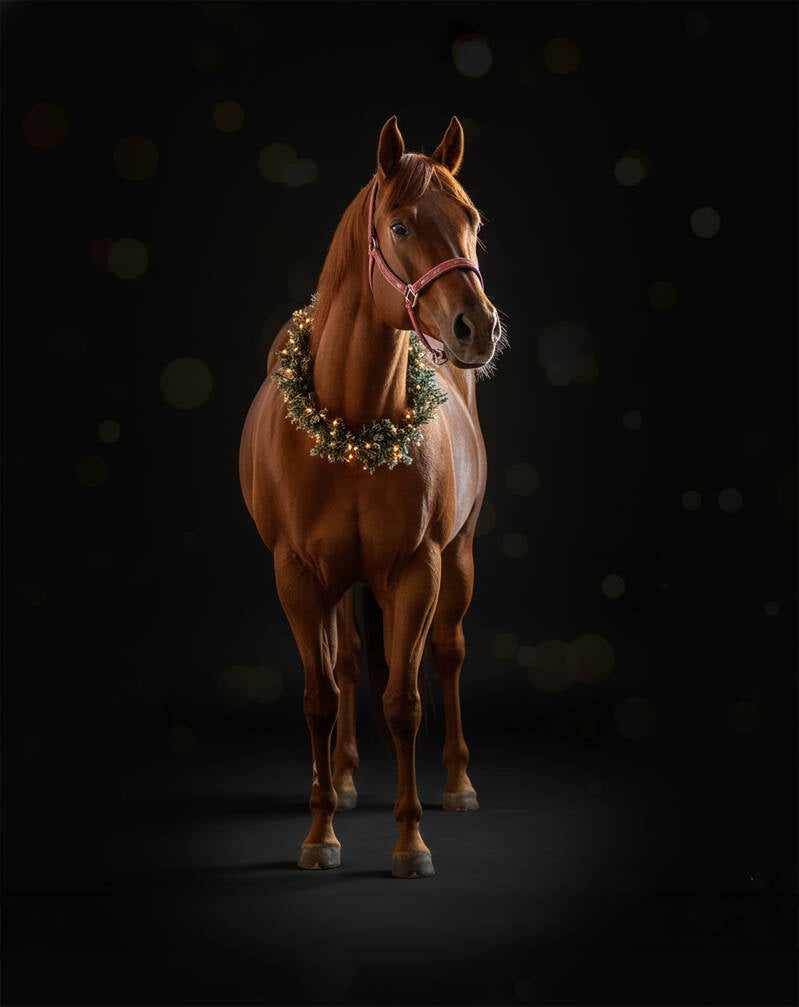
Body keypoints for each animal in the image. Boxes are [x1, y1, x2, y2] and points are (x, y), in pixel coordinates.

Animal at [239, 115, 505, 878]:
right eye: (401, 226)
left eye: (473, 220)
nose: (477, 327)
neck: (353, 423)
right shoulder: (297, 575)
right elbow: (320, 697)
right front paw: (320, 831)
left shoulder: (418, 570)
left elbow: (405, 701)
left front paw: (411, 843)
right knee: (349, 661)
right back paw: (344, 778)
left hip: (459, 557)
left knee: (447, 652)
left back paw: (457, 784)